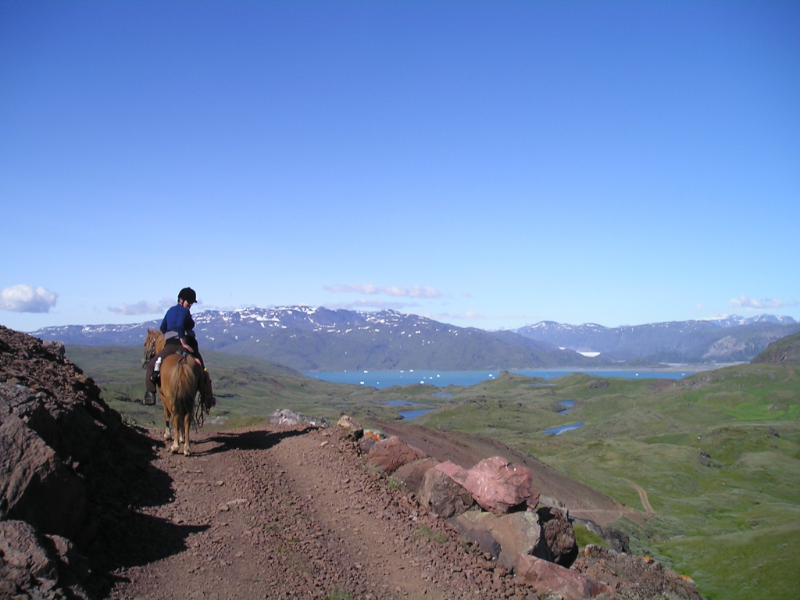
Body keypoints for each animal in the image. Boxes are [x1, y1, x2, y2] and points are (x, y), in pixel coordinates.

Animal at [144, 330, 202, 458]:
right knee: (186, 418)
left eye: (145, 343)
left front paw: (168, 435)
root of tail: (182, 362)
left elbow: (167, 415)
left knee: (175, 416)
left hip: (172, 398)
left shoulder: (164, 397)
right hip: (189, 397)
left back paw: (175, 447)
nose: (145, 361)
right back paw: (186, 448)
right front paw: (182, 437)